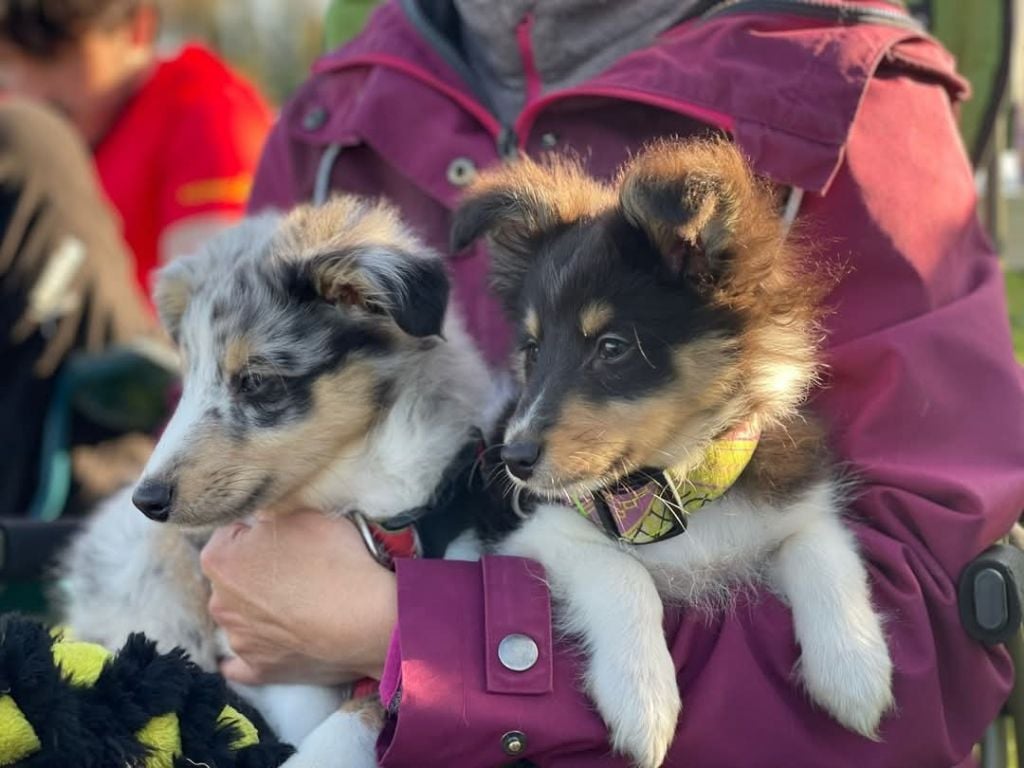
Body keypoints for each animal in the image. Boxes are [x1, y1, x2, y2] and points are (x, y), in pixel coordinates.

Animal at [58, 195, 491, 765]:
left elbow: (367, 707)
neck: (359, 499)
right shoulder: (277, 673)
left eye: (257, 380)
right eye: (189, 376)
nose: (146, 500)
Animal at [452, 140, 892, 768]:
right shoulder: (529, 531)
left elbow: (823, 546)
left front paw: (855, 668)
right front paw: (642, 699)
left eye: (612, 347)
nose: (513, 460)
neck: (675, 488)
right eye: (533, 350)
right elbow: (620, 571)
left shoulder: (794, 497)